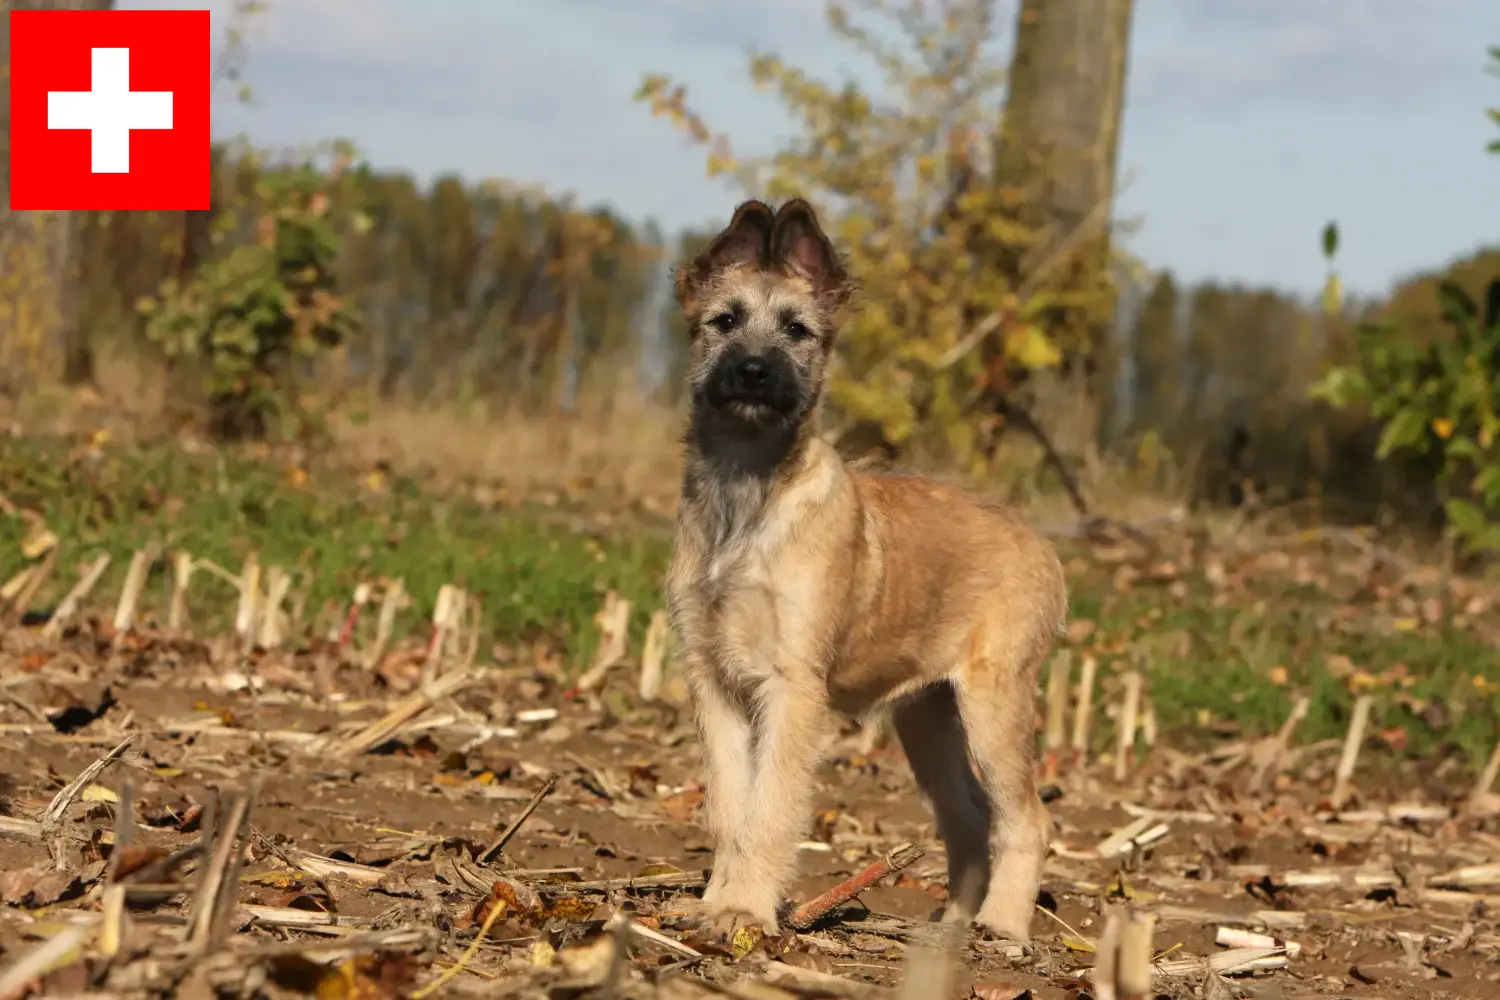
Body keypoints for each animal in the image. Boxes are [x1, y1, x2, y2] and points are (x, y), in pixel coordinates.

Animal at [669, 199, 1068, 941]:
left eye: (798, 330)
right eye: (725, 321)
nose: (754, 371)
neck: (746, 495)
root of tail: (1041, 544)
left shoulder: (793, 687)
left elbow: (771, 809)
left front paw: (746, 908)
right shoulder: (714, 681)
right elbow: (732, 809)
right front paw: (714, 904)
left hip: (994, 707)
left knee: (1026, 818)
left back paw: (1002, 929)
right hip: (930, 722)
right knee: (969, 821)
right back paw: (947, 928)